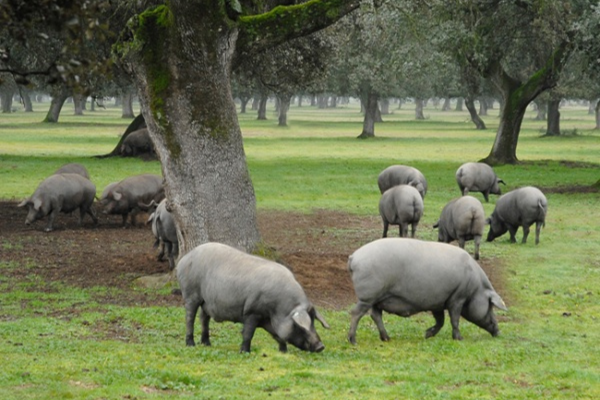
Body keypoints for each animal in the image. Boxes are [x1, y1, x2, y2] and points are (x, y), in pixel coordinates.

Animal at [176, 242, 330, 352]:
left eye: (313, 323)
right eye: (301, 327)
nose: (320, 346)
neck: (278, 310)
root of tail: (184, 259)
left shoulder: (268, 320)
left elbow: (277, 335)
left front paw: (283, 351)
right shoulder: (252, 312)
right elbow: (248, 333)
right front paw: (245, 351)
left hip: (206, 302)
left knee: (204, 318)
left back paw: (207, 344)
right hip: (191, 294)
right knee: (189, 318)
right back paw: (191, 344)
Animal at [346, 238, 506, 344]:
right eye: (491, 306)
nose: (498, 332)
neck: (476, 288)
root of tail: (354, 257)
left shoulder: (438, 302)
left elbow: (441, 321)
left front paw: (427, 335)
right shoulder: (457, 298)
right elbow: (454, 319)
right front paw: (459, 338)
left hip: (377, 299)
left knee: (375, 315)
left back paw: (386, 338)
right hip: (367, 297)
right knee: (356, 313)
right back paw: (353, 340)